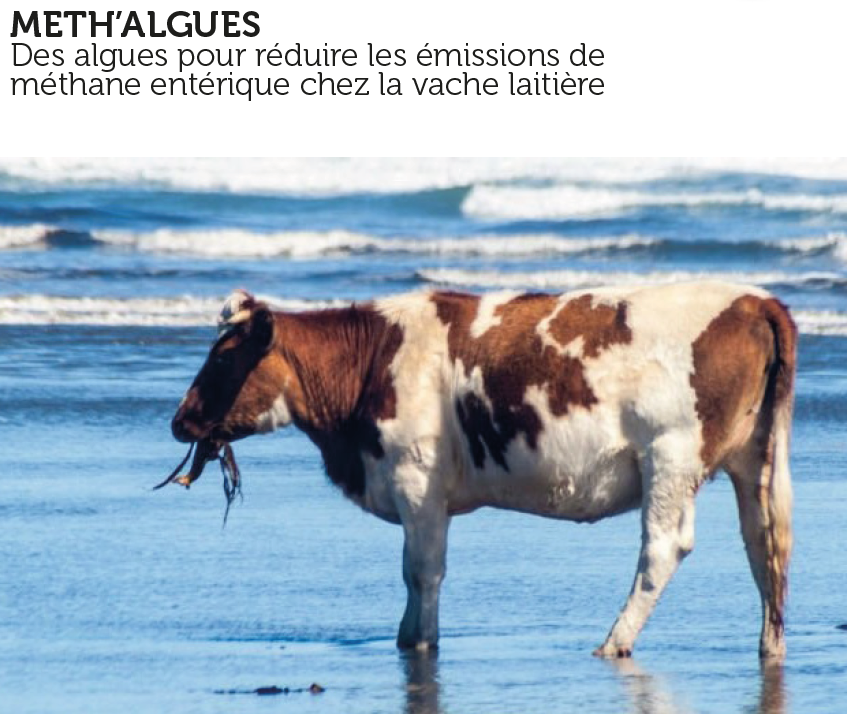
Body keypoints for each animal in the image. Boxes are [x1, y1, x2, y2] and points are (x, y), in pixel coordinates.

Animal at [168, 282, 796, 660]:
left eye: (224, 357)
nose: (180, 421)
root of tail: (753, 299)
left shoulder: (417, 483)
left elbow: (421, 573)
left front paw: (418, 641)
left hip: (669, 456)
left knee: (664, 549)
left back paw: (613, 642)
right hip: (752, 459)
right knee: (763, 543)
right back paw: (769, 646)